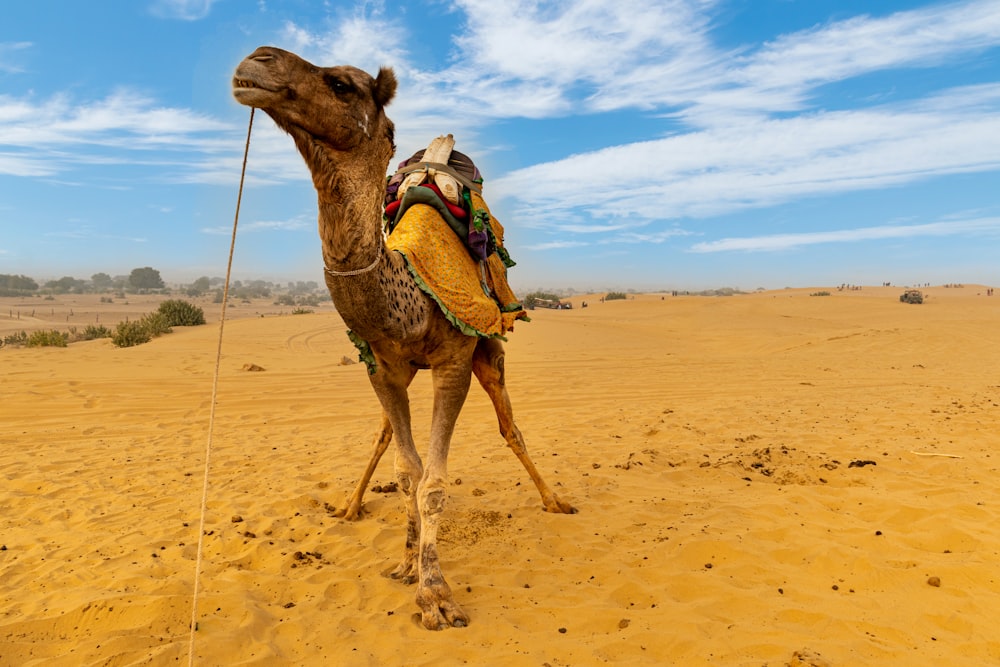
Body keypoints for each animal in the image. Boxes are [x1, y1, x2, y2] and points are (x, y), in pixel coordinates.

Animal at [231, 47, 576, 632]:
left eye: (342, 84)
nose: (256, 61)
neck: (407, 292)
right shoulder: (382, 368)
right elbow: (407, 470)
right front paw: (407, 563)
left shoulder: (454, 363)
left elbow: (433, 483)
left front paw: (435, 594)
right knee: (386, 436)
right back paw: (351, 508)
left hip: (489, 350)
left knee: (511, 427)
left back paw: (554, 501)